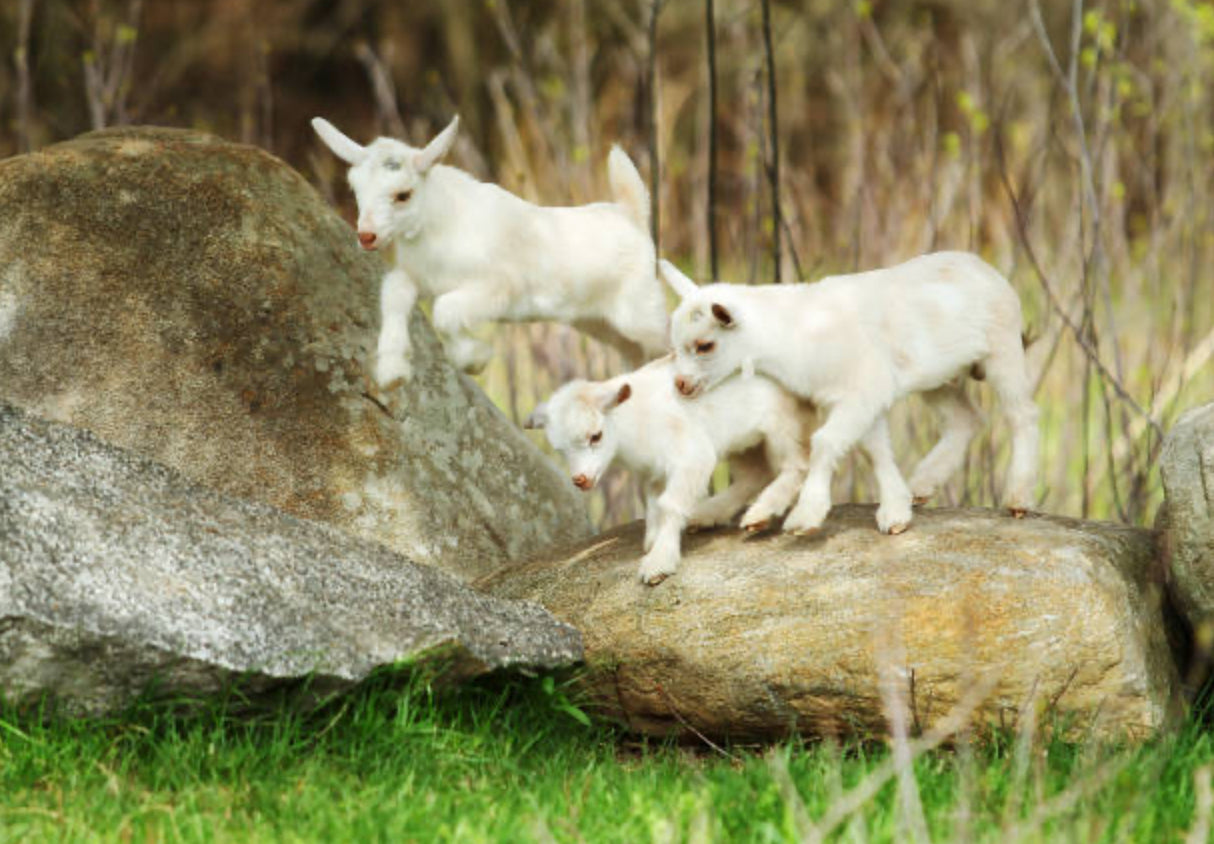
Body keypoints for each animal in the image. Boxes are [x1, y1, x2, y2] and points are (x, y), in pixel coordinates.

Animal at [312, 116, 669, 385]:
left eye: (403, 195)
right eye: (355, 188)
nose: (367, 236)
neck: (436, 228)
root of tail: (632, 215)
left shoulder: (497, 287)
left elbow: (445, 311)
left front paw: (474, 359)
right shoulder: (415, 276)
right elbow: (394, 295)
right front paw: (392, 371)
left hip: (639, 310)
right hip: (601, 323)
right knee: (637, 352)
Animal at [525, 356, 814, 585]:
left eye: (596, 436)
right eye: (560, 449)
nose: (580, 479)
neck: (636, 417)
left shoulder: (692, 457)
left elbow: (670, 504)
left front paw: (659, 561)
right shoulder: (654, 472)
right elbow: (654, 503)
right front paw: (652, 541)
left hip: (784, 421)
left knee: (797, 464)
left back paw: (764, 511)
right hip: (742, 441)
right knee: (756, 474)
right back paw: (709, 515)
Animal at [661, 252, 1039, 536]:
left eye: (705, 345)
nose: (680, 385)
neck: (794, 330)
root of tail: (981, 265)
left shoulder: (862, 390)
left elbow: (825, 442)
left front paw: (806, 515)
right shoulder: (865, 396)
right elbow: (875, 451)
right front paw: (896, 511)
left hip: (1002, 346)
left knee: (1021, 414)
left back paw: (1018, 498)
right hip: (934, 376)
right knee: (966, 418)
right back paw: (922, 485)